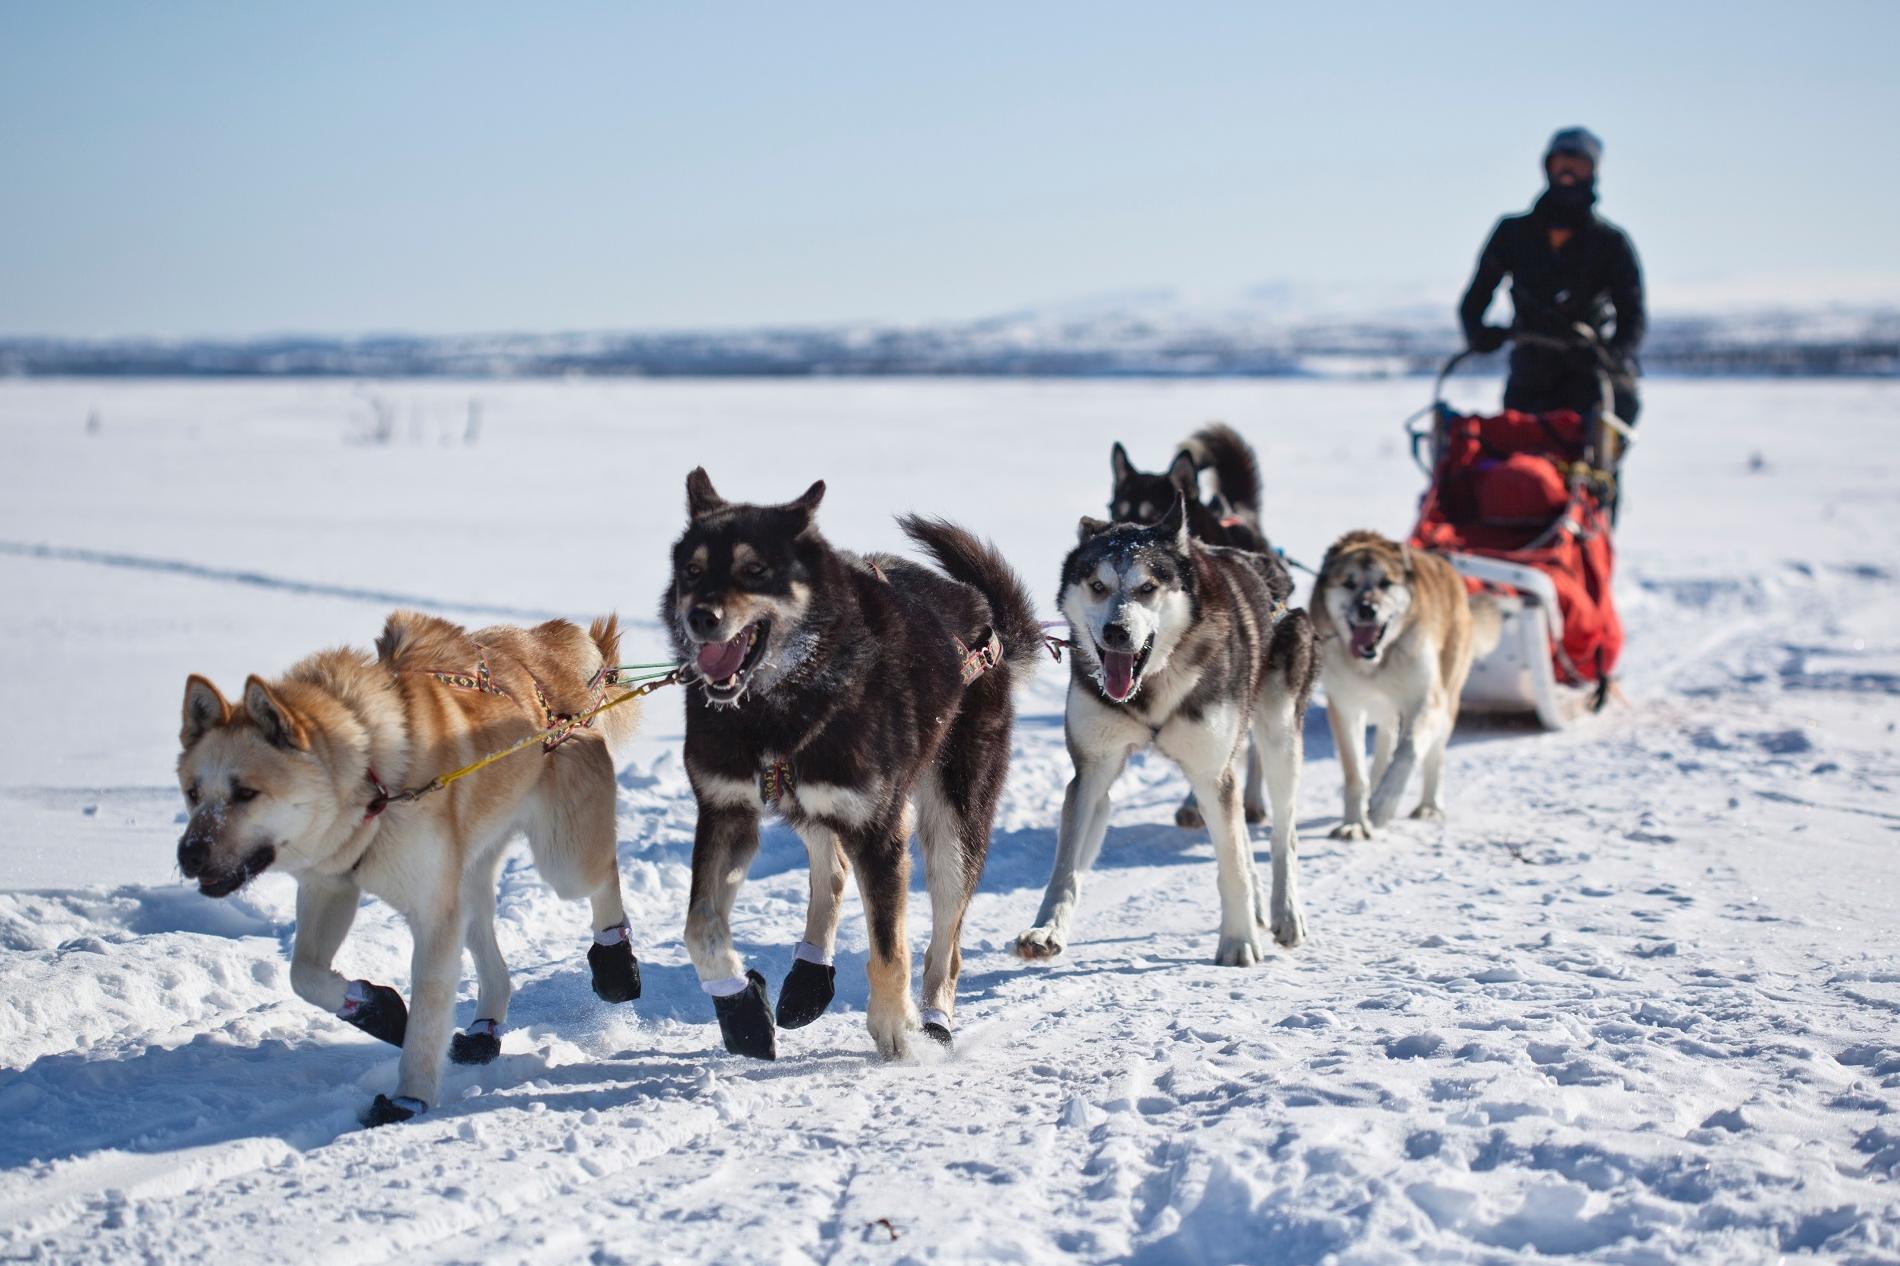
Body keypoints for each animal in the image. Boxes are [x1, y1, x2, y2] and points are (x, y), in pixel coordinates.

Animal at [176, 612, 646, 1125]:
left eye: (246, 793)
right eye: (193, 793)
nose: (189, 854)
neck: (374, 781)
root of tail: (546, 645)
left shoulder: (433, 914)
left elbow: (427, 1010)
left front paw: (409, 1097)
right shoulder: (331, 887)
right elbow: (303, 974)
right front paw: (376, 1008)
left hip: (563, 860)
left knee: (603, 878)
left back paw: (616, 966)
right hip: (468, 879)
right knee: (494, 962)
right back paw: (483, 1030)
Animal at [657, 467, 1041, 1056]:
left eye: (754, 569)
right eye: (693, 571)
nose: (701, 617)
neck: (777, 706)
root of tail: (985, 619)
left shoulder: (879, 830)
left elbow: (889, 949)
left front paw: (897, 1030)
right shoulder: (726, 811)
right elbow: (699, 928)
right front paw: (740, 1007)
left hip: (952, 827)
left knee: (945, 942)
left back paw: (934, 1021)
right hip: (809, 799)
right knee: (833, 869)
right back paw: (808, 978)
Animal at [1018, 486, 1314, 961]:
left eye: (1148, 587)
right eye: (1097, 586)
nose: (1116, 631)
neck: (1151, 686)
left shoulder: (1212, 772)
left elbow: (1232, 860)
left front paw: (1237, 942)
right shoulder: (1093, 770)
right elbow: (1066, 866)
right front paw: (1046, 929)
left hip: (1279, 737)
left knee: (1282, 835)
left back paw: (1285, 912)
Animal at [1314, 532, 1489, 836]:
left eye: (1385, 583)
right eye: (1349, 583)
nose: (1367, 609)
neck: (1377, 662)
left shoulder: (1426, 701)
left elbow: (1408, 751)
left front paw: (1383, 804)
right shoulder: (1346, 707)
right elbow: (1355, 773)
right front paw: (1354, 823)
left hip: (1447, 699)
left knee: (1433, 755)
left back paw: (1429, 806)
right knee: (1385, 743)